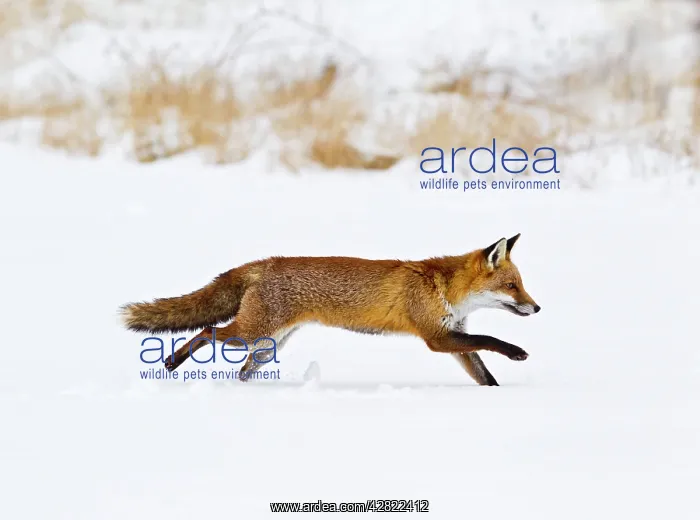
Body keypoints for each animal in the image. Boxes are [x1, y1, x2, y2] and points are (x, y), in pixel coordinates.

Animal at [120, 233, 540, 386]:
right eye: (512, 286)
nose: (537, 308)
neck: (445, 288)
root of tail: (265, 262)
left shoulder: (453, 335)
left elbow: (484, 373)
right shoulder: (436, 337)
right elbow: (490, 338)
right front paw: (517, 352)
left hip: (268, 345)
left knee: (241, 370)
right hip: (252, 333)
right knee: (205, 332)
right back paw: (171, 362)